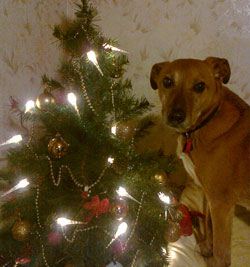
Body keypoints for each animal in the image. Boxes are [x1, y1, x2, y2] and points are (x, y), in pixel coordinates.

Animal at [150, 58, 250, 267]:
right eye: (167, 81)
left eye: (199, 86)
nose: (176, 116)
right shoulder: (211, 196)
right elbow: (209, 225)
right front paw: (206, 247)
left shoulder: (221, 203)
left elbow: (221, 251)